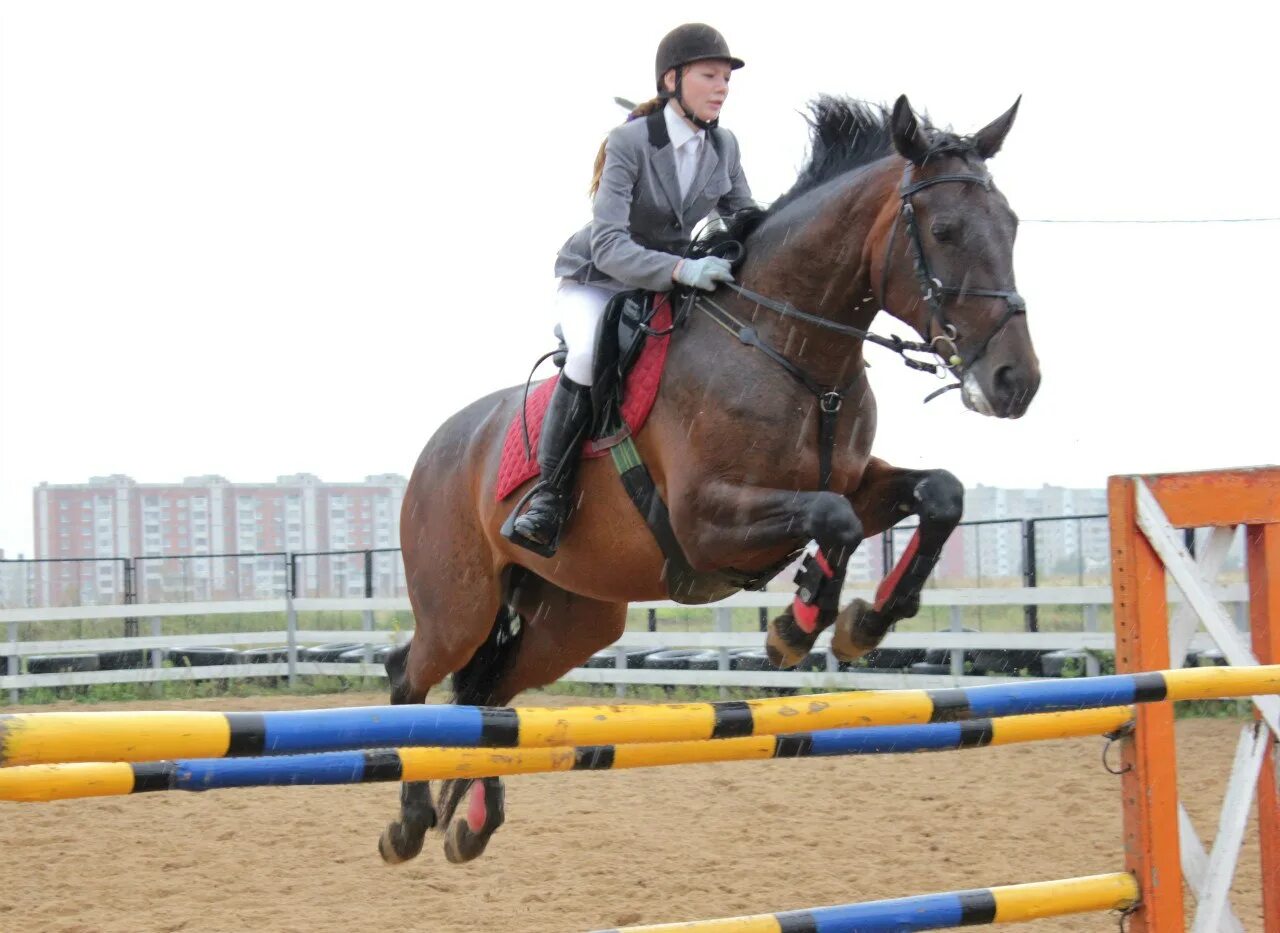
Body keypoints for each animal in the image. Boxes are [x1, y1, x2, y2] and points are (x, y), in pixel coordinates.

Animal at [376, 90, 1039, 860]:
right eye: (944, 229)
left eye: (1012, 226)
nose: (1016, 381)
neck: (792, 352)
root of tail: (435, 451)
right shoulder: (705, 522)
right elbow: (832, 518)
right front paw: (797, 624)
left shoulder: (855, 483)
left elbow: (938, 494)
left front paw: (863, 622)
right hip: (461, 606)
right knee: (413, 674)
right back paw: (408, 825)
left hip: (573, 617)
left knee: (492, 693)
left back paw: (473, 822)